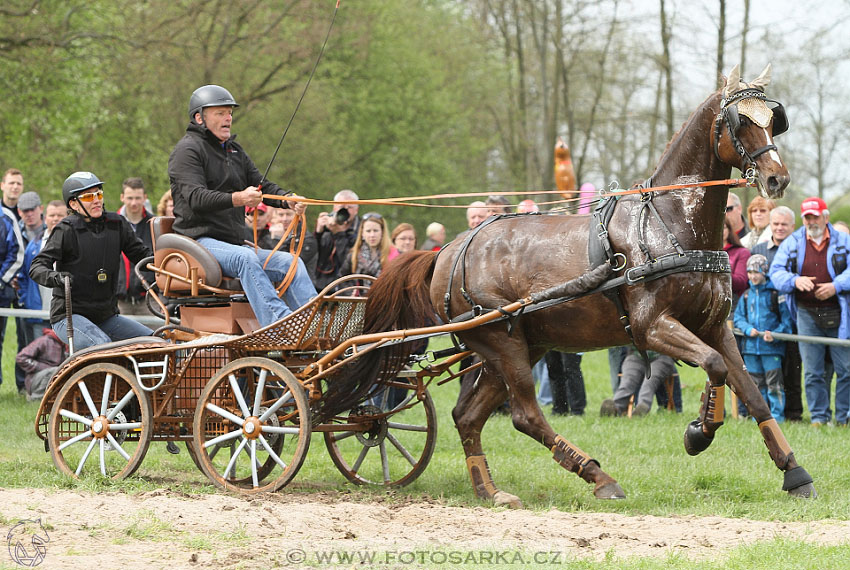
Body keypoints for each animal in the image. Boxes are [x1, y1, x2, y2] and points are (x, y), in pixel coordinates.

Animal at [318, 64, 808, 504]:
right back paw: (597, 475)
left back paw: (489, 489)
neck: (669, 223)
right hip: (503, 345)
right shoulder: (653, 327)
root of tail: (448, 250)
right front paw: (699, 432)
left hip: (517, 346)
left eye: (773, 119)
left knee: (468, 415)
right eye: (741, 121)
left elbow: (750, 392)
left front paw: (793, 471)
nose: (777, 178)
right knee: (523, 415)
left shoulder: (715, 326)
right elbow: (714, 366)